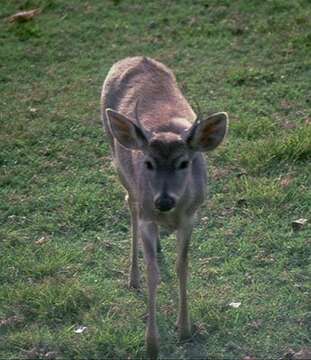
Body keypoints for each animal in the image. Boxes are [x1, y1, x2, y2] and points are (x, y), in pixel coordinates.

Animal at [100, 56, 229, 358]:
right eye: (148, 162)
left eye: (184, 162)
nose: (164, 200)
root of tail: (134, 58)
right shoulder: (147, 215)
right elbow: (153, 272)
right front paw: (152, 344)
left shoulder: (191, 216)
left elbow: (183, 265)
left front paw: (185, 329)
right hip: (118, 161)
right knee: (129, 203)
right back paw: (132, 276)